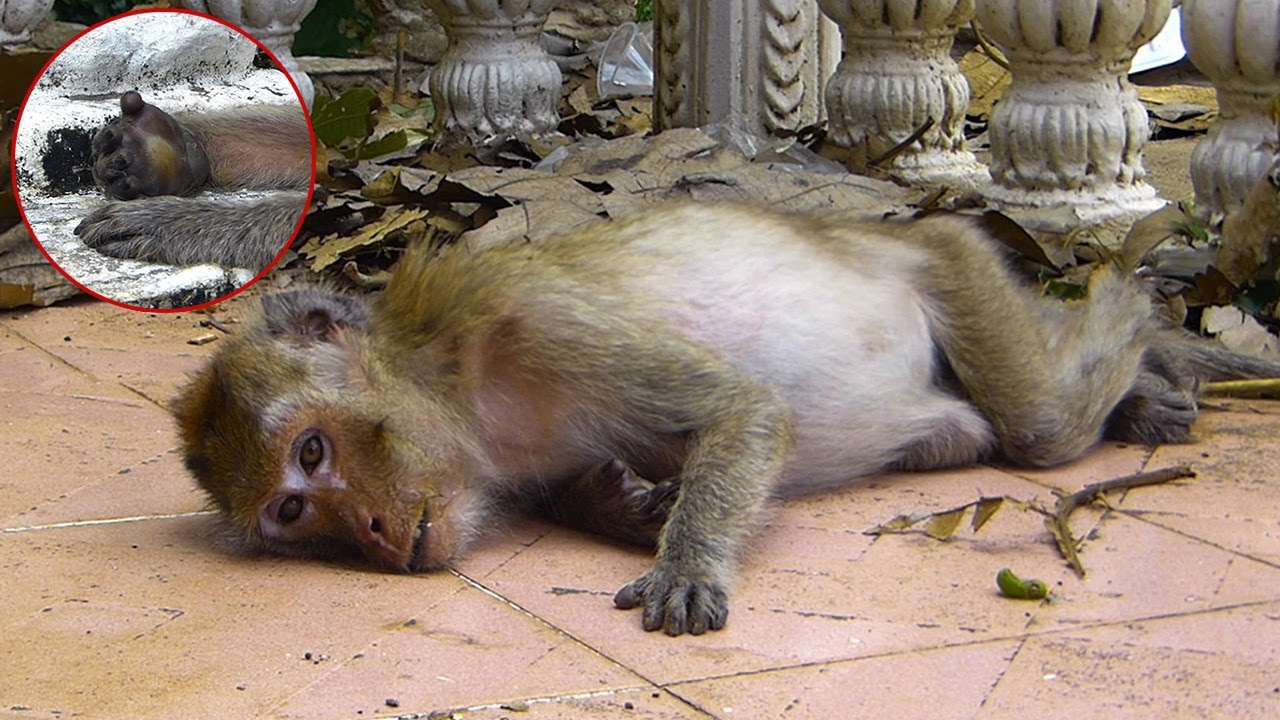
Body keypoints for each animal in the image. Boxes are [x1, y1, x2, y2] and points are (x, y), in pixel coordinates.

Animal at [171, 202, 1280, 636]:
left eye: (314, 451)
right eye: (291, 514)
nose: (362, 527)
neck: (456, 393)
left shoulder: (533, 321)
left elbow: (743, 408)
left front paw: (686, 557)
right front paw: (624, 506)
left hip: (951, 258)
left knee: (1041, 423)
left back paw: (1138, 323)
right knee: (973, 429)